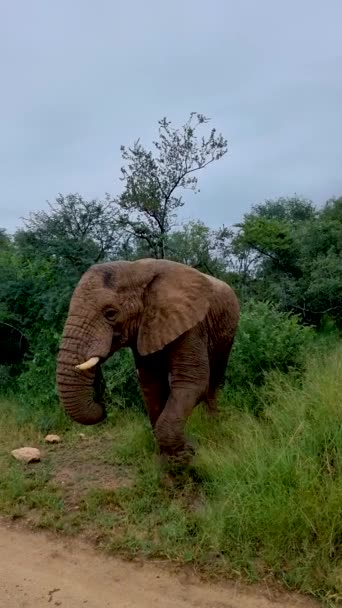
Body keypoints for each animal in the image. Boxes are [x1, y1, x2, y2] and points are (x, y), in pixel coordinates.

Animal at [56, 258, 239, 464]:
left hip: (227, 333)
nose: (102, 407)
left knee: (214, 380)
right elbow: (152, 384)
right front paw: (168, 457)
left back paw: (213, 427)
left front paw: (184, 457)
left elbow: (191, 382)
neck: (135, 269)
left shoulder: (192, 324)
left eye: (110, 313)